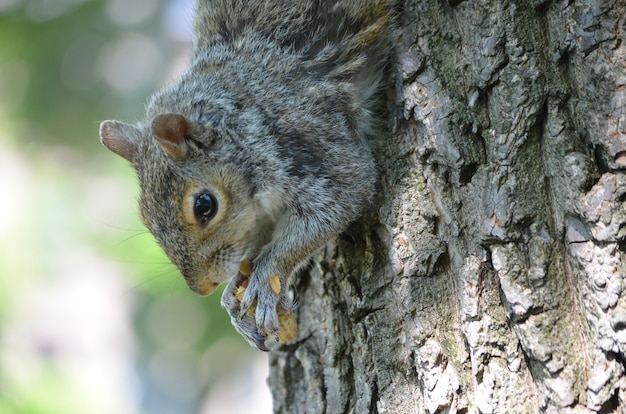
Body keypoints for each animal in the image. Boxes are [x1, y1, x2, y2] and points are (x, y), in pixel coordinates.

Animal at [100, 0, 394, 350]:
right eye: (144, 216)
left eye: (205, 206)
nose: (202, 288)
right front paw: (233, 291)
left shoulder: (311, 136)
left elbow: (340, 198)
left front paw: (266, 277)